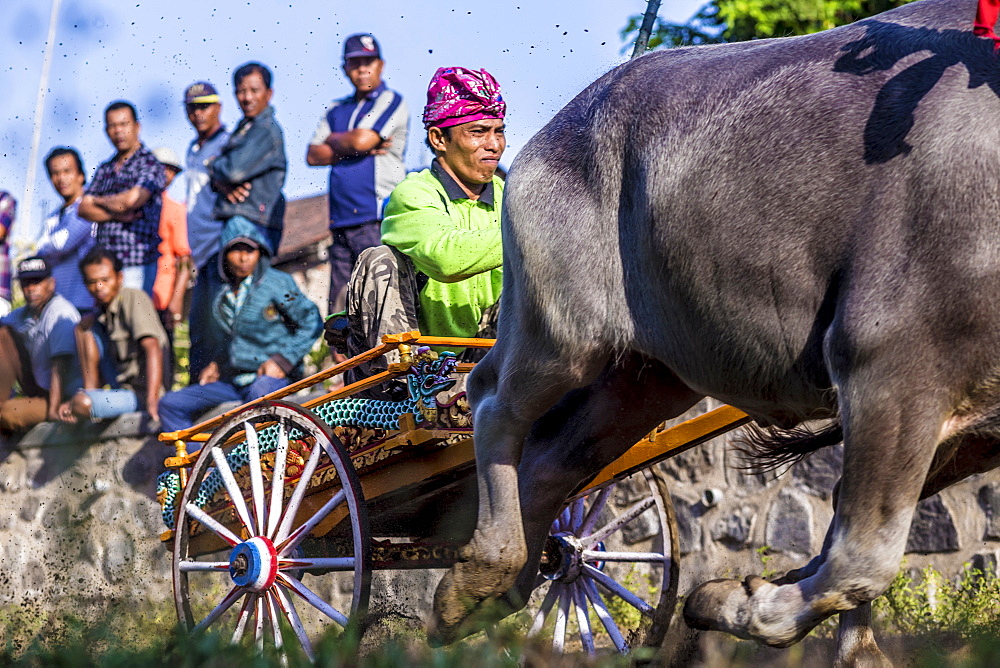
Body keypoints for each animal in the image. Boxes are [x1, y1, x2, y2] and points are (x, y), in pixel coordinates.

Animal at [432, 0, 1000, 656]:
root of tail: (553, 134)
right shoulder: (888, 367)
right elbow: (859, 562)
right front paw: (724, 599)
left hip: (647, 374)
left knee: (556, 458)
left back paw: (504, 585)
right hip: (559, 333)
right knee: (492, 400)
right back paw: (479, 576)